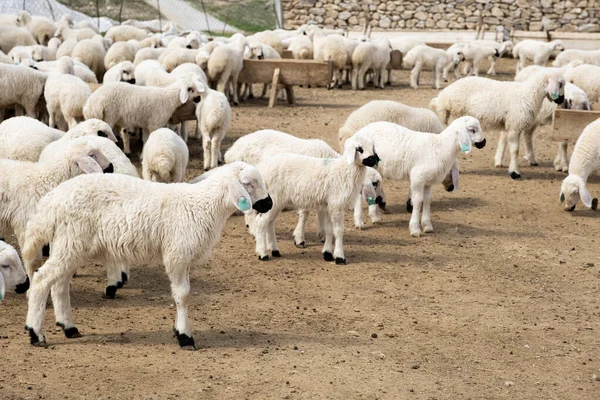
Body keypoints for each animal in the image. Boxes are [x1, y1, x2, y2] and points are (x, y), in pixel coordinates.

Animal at [22, 161, 272, 348]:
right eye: (248, 184)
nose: (269, 203)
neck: (202, 206)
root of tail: (51, 201)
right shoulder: (177, 255)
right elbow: (183, 296)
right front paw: (185, 336)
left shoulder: (184, 258)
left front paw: (178, 330)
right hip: (71, 240)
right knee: (43, 279)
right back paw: (36, 333)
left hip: (70, 243)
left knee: (59, 283)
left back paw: (68, 327)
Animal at [243, 131, 376, 262]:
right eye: (359, 149)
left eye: (372, 147)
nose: (373, 159)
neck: (345, 170)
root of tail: (261, 169)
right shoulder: (336, 204)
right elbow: (338, 231)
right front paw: (339, 256)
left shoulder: (329, 205)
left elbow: (329, 230)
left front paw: (327, 253)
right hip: (273, 200)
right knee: (261, 222)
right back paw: (262, 253)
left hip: (277, 202)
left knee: (270, 223)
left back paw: (275, 250)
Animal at [354, 117, 486, 239]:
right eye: (472, 130)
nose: (484, 142)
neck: (442, 148)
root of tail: (360, 132)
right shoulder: (418, 177)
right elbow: (417, 201)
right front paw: (415, 229)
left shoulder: (428, 181)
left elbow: (427, 200)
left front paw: (427, 226)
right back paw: (363, 220)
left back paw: (376, 212)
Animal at [428, 72, 564, 178]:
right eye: (560, 84)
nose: (562, 100)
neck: (528, 94)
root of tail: (443, 97)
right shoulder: (514, 126)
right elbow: (515, 150)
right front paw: (515, 172)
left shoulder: (508, 125)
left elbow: (504, 142)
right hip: (456, 116)